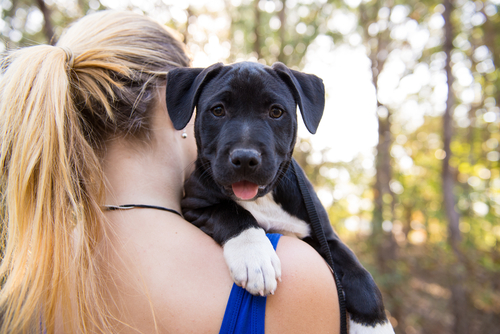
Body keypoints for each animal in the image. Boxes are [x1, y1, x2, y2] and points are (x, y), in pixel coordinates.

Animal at [168, 61, 394, 332]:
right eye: (218, 110)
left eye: (276, 112)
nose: (245, 158)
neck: (262, 199)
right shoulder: (195, 206)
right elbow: (232, 213)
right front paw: (255, 258)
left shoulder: (324, 237)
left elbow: (358, 272)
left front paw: (376, 324)